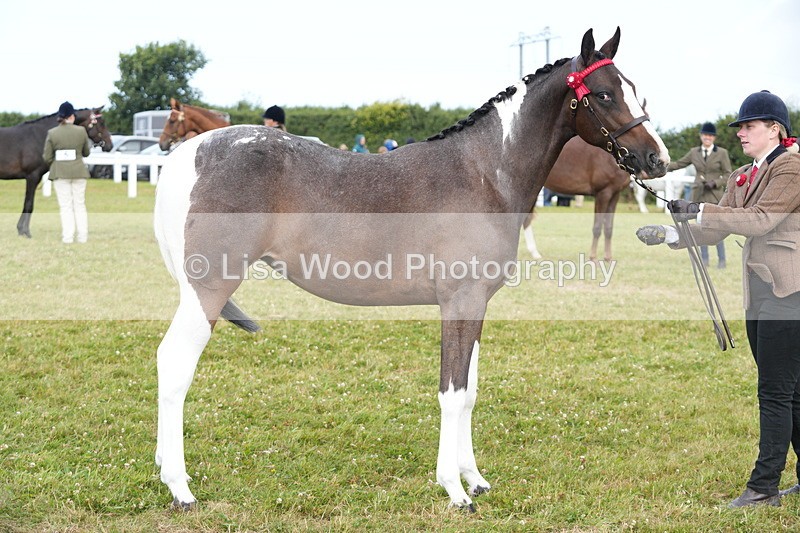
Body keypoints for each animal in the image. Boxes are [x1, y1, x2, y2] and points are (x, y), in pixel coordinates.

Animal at [0, 107, 112, 237]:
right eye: (101, 123)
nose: (110, 145)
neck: (39, 137)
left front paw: (21, 230)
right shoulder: (32, 176)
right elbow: (29, 204)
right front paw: (25, 231)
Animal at [153, 27, 669, 511]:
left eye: (633, 89)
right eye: (604, 94)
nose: (657, 158)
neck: (484, 175)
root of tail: (186, 156)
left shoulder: (475, 305)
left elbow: (470, 391)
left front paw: (475, 479)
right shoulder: (458, 302)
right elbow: (451, 392)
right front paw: (455, 490)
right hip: (209, 289)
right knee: (175, 363)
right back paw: (180, 487)